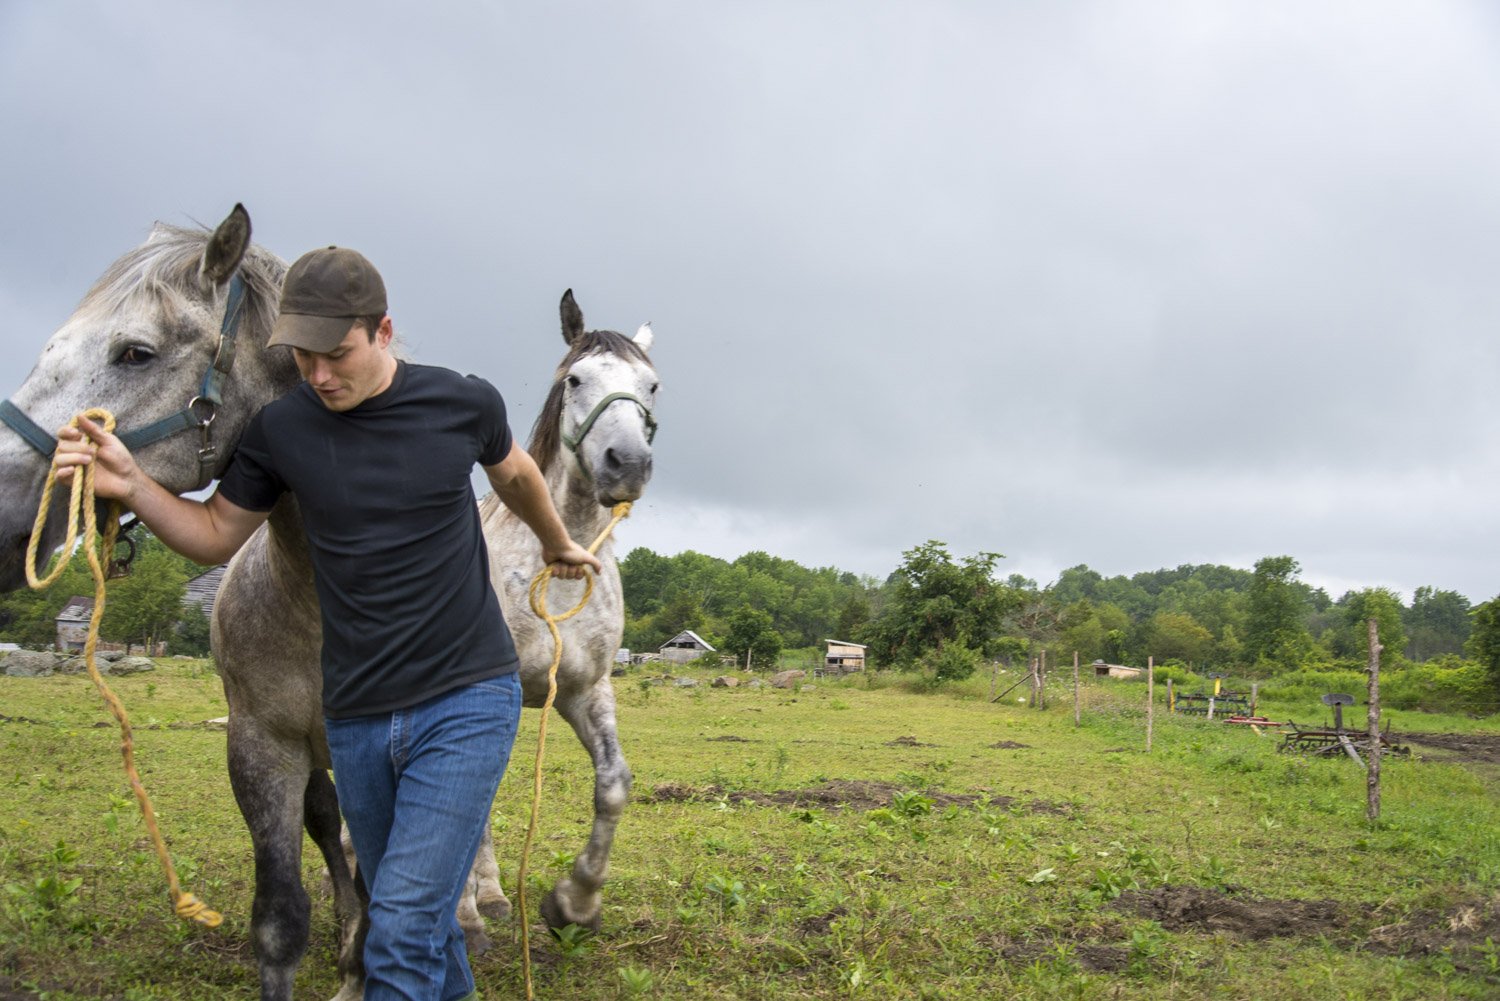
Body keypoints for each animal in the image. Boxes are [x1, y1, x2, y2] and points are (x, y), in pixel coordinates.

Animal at [0, 205, 657, 1001]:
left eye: (653, 386)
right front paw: (463, 918)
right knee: (333, 825)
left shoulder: (584, 688)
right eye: (577, 379)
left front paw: (571, 904)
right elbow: (293, 905)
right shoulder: (265, 741)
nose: (627, 462)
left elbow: (610, 786)